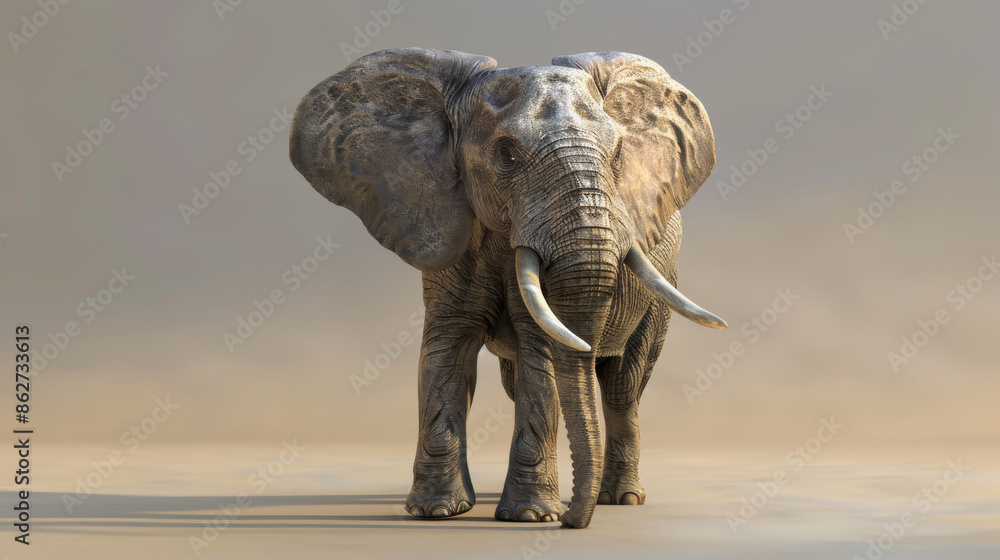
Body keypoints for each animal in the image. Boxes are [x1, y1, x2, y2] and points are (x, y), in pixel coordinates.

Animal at [289, 48, 726, 528]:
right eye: (506, 155)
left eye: (616, 154)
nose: (572, 521)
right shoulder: (448, 229)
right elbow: (444, 352)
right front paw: (435, 511)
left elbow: (541, 354)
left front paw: (530, 517)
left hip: (659, 295)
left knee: (622, 386)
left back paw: (620, 498)